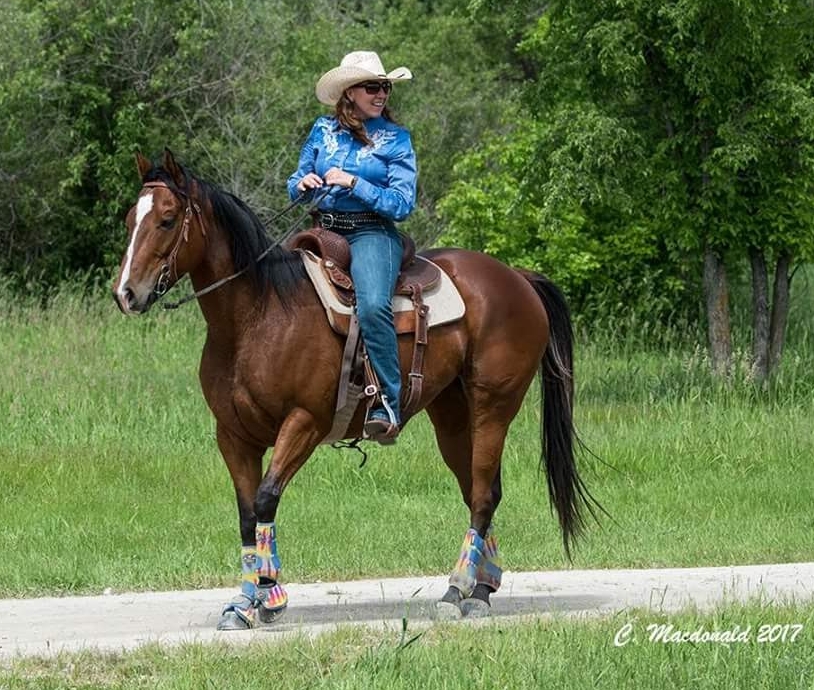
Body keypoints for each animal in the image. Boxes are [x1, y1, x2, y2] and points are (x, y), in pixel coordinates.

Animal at [113, 150, 600, 628]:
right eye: (130, 218)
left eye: (168, 219)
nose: (126, 294)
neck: (258, 316)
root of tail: (517, 277)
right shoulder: (233, 436)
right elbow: (248, 514)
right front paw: (245, 603)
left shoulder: (305, 423)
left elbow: (267, 499)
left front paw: (271, 599)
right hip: (452, 416)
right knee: (479, 490)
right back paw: (482, 589)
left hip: (493, 406)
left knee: (483, 495)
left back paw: (455, 591)